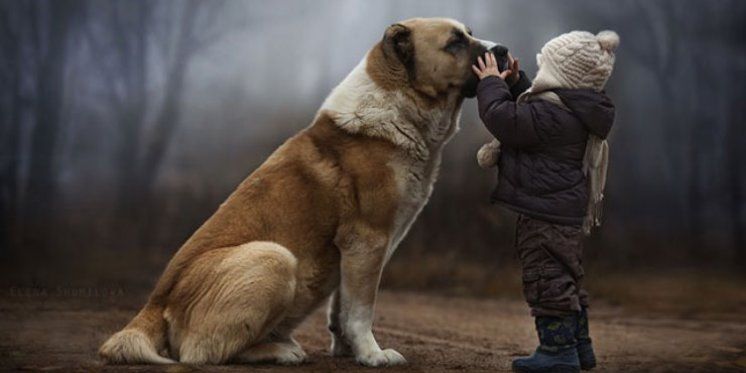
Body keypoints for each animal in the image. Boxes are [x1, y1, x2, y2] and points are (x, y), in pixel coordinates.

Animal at [97, 18, 494, 366]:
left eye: (470, 34)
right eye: (454, 43)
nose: (501, 51)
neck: (398, 106)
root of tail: (154, 303)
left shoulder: (353, 252)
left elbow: (341, 308)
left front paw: (348, 350)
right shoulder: (367, 241)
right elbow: (361, 309)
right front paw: (373, 355)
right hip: (274, 257)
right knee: (202, 353)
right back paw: (280, 351)